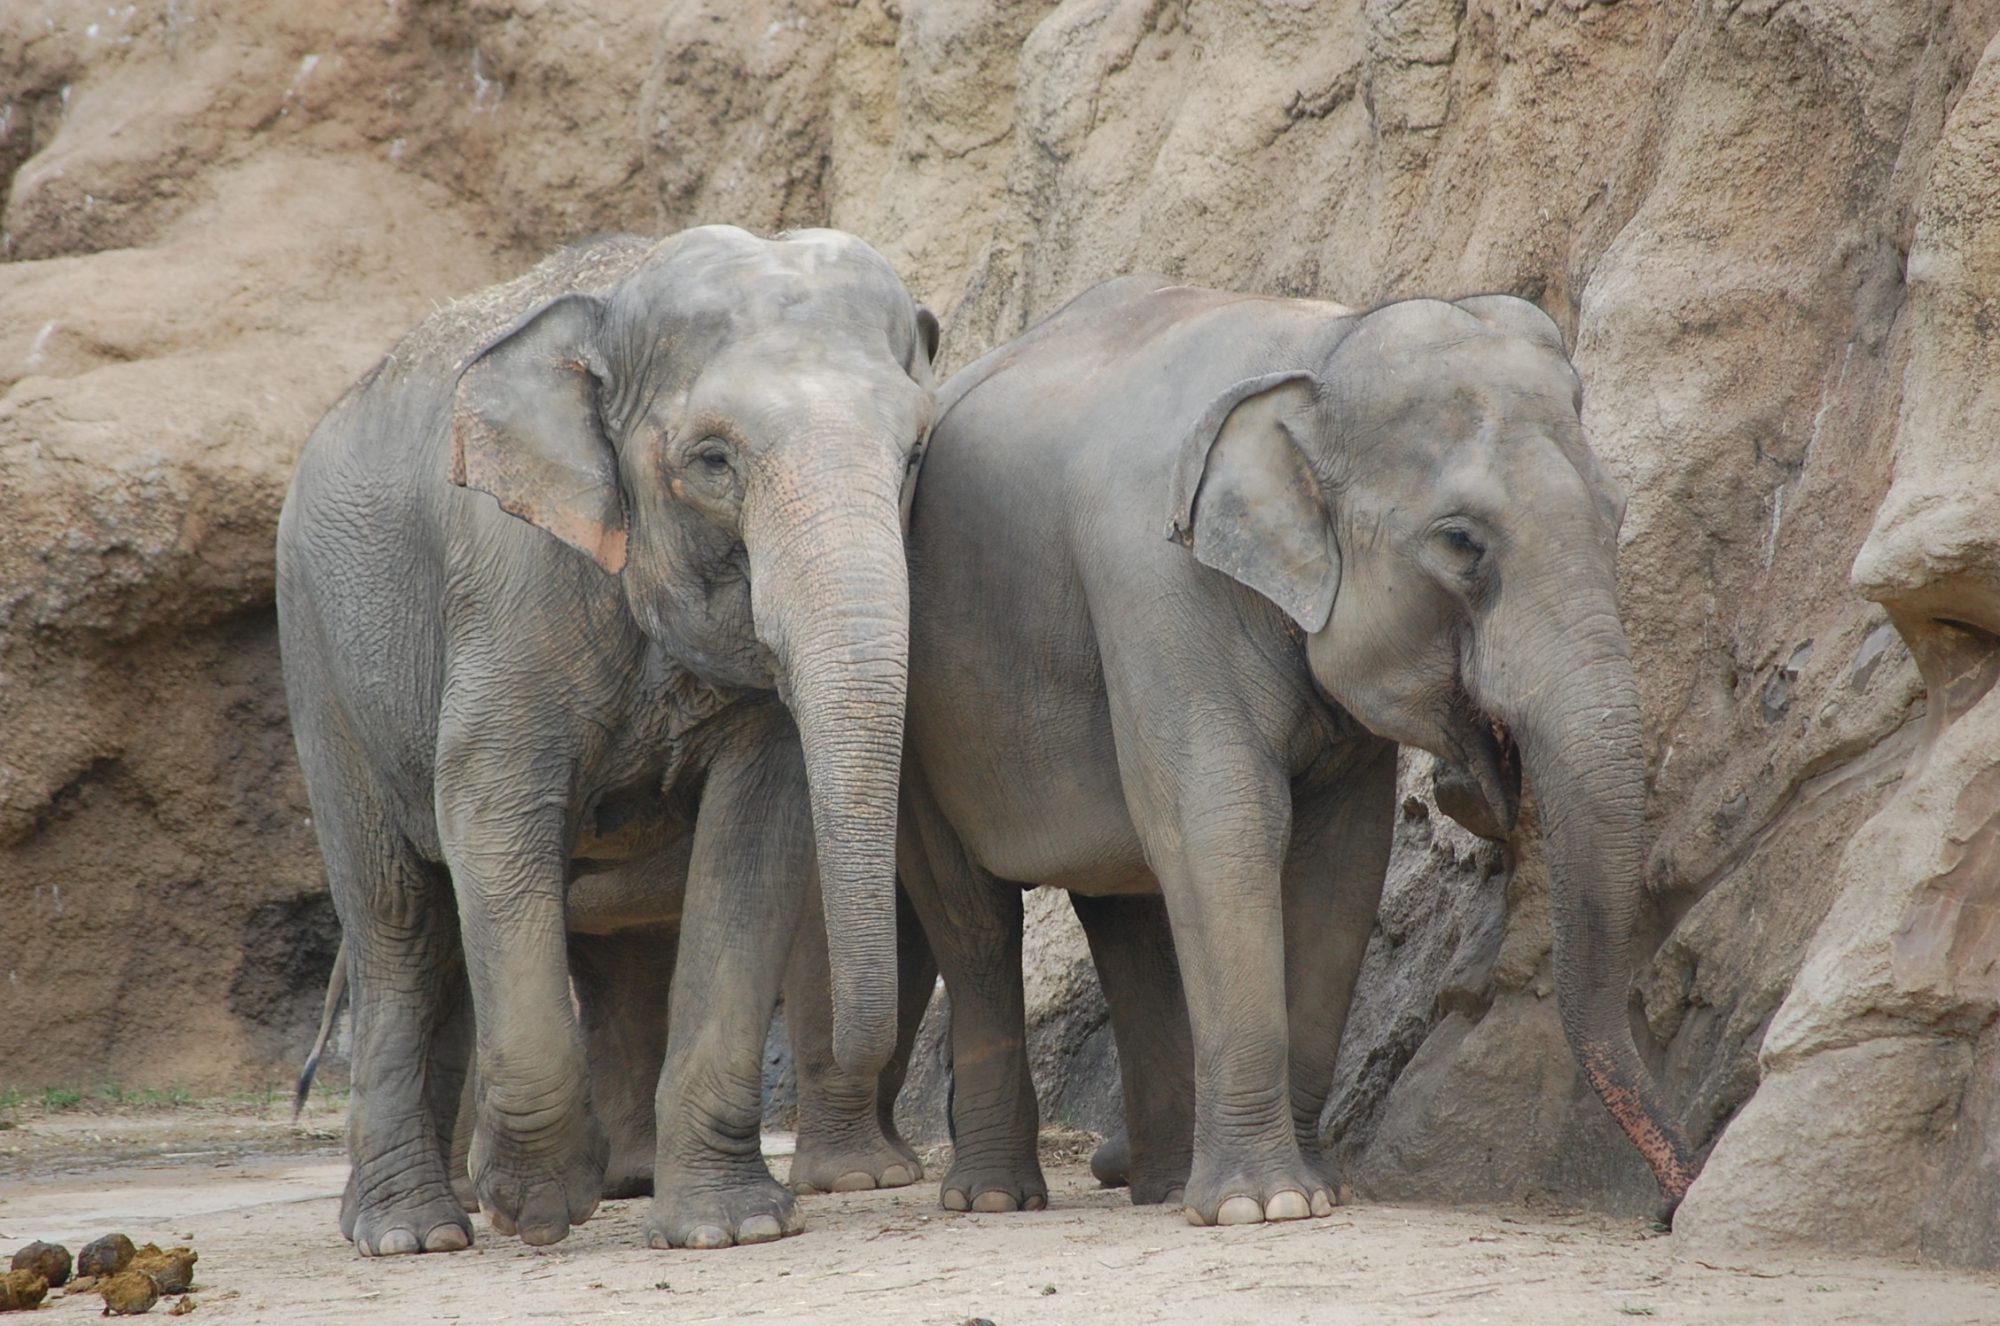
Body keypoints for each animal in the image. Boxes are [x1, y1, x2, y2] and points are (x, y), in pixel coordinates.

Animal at [272, 226, 936, 1256]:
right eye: (712, 459)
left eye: (914, 452)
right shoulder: (513, 585)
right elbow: (490, 806)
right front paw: (535, 1206)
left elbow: (758, 839)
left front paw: (728, 1228)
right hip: (322, 662)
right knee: (398, 911)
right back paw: (414, 1233)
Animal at [900, 274, 1696, 1232]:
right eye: (1461, 542)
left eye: (1617, 514)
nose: (1671, 1207)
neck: (1321, 349)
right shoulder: (1158, 582)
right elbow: (1226, 825)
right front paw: (1264, 1205)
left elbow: (1342, 862)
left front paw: (1317, 1189)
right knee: (974, 918)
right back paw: (994, 1197)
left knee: (1127, 916)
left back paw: (1164, 1185)